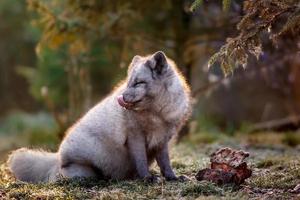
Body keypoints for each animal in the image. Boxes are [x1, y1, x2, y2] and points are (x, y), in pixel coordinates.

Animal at [7, 51, 192, 183]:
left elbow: (165, 162)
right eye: (128, 83)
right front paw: (147, 178)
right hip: (89, 165)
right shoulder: (135, 136)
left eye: (139, 83)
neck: (157, 114)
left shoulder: (162, 139)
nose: (121, 97)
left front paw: (172, 178)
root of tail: (58, 157)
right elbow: (140, 160)